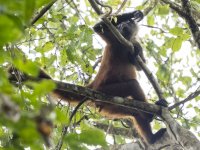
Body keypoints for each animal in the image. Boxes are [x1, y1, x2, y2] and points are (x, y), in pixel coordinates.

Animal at [9, 10, 166, 144]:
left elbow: (139, 64)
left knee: (134, 112)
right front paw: (134, 13)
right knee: (132, 85)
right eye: (121, 25)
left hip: (108, 105)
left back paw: (151, 137)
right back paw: (150, 116)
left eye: (126, 24)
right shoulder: (115, 39)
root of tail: (93, 85)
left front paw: (136, 51)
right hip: (104, 92)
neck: (126, 42)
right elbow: (98, 27)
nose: (122, 25)